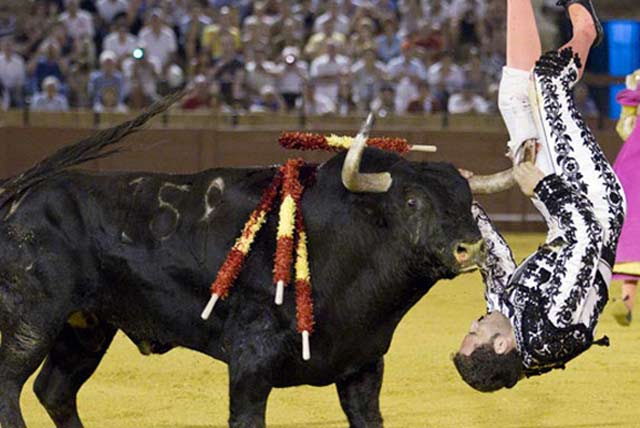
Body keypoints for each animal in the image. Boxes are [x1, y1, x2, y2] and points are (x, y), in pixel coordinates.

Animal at [0, 94, 484, 428]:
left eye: (468, 202)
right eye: (411, 201)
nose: (471, 247)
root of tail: (21, 193)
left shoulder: (363, 367)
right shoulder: (251, 362)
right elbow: (247, 416)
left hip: (87, 324)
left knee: (55, 390)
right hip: (33, 320)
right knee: (11, 385)